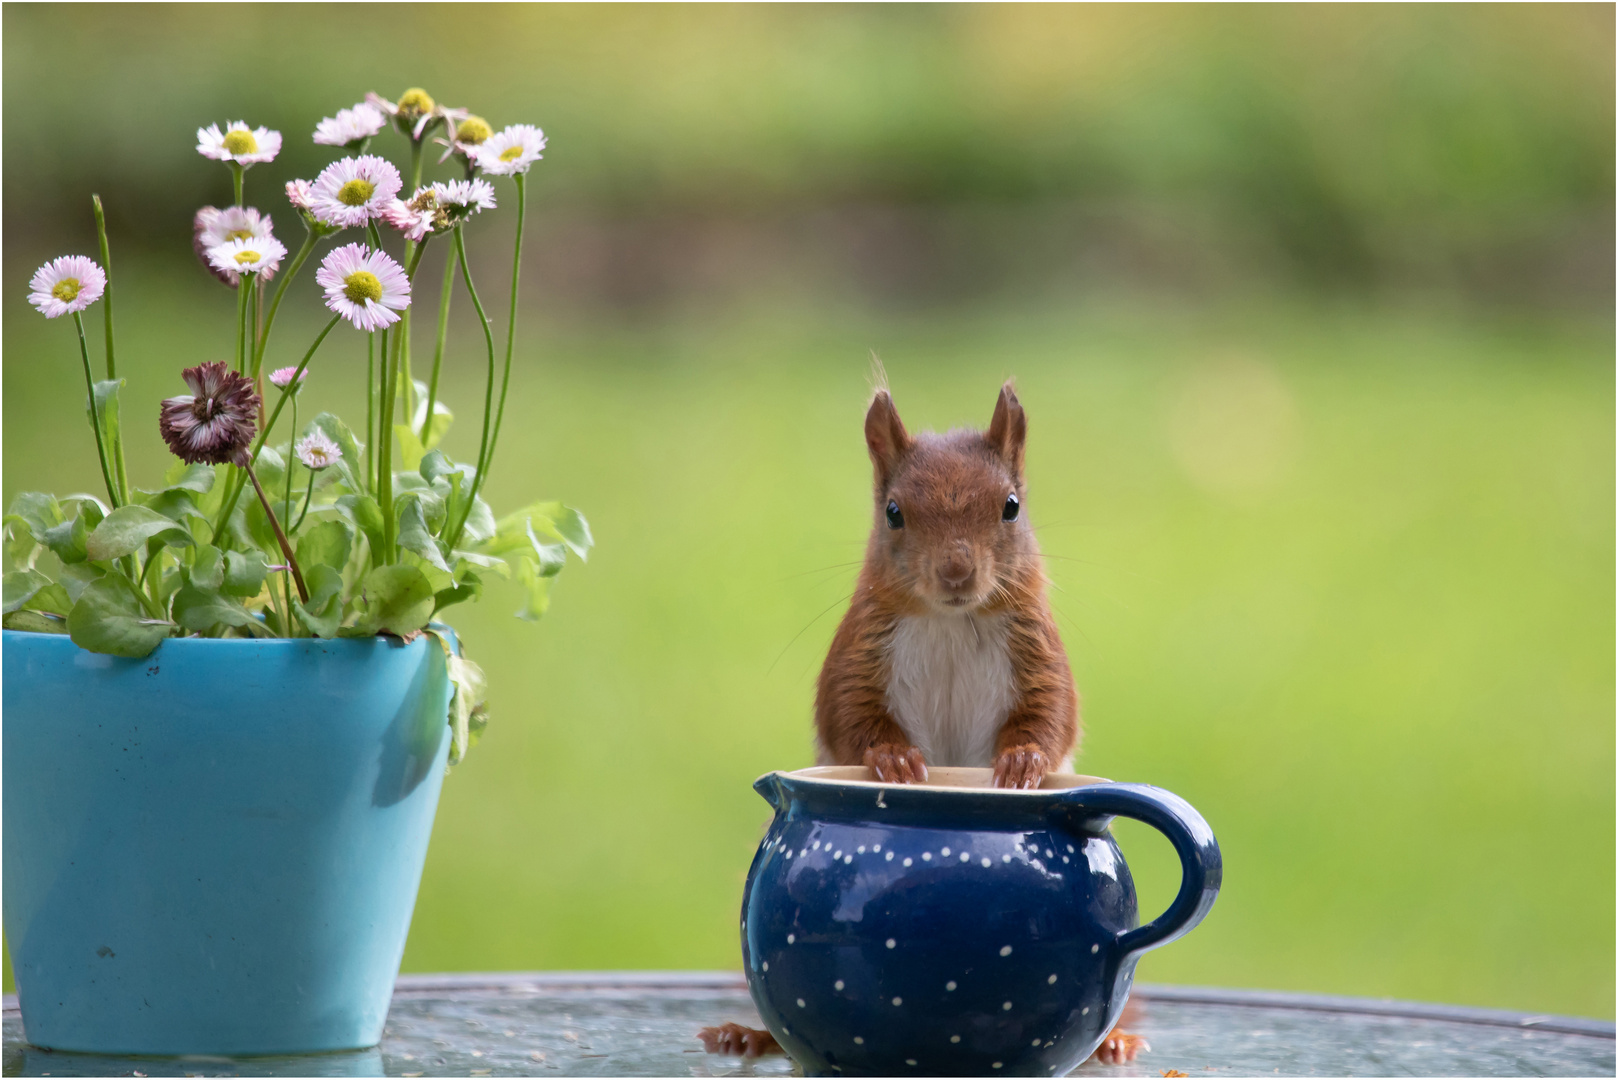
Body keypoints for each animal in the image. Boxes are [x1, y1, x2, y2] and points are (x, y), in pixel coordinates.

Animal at [702, 383, 1145, 1068]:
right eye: (893, 513)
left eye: (1011, 507)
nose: (956, 573)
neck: (952, 619)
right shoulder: (856, 658)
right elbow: (853, 719)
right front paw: (895, 760)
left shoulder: (1040, 656)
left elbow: (1049, 719)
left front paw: (1022, 762)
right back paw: (747, 1033)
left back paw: (1115, 1041)